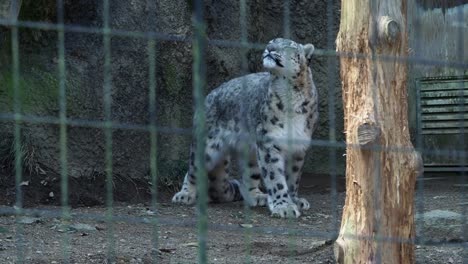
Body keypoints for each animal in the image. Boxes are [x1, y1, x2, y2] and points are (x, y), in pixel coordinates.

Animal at [172, 37, 318, 219]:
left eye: (289, 46)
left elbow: (293, 177)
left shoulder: (299, 146)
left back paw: (258, 196)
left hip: (250, 152)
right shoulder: (269, 143)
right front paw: (283, 206)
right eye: (271, 41)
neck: (290, 95)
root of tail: (210, 95)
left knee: (249, 175)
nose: (269, 48)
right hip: (207, 146)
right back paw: (185, 194)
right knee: (193, 169)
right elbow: (275, 177)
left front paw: (294, 200)